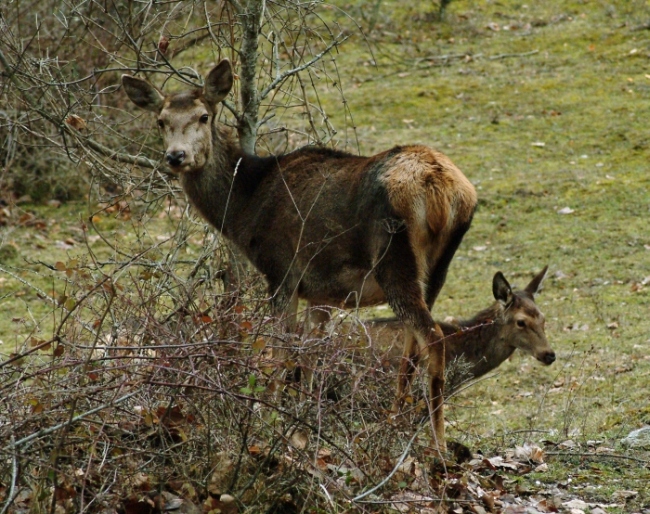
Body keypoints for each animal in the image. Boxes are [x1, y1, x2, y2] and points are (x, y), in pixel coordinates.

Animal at [121, 60, 476, 450]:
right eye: (161, 120)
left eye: (203, 116)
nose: (176, 156)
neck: (245, 207)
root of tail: (442, 189)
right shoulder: (322, 291)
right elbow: (312, 357)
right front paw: (306, 425)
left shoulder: (281, 270)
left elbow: (280, 354)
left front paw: (268, 421)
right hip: (436, 269)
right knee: (414, 345)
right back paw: (395, 424)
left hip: (393, 257)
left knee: (433, 338)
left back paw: (436, 444)